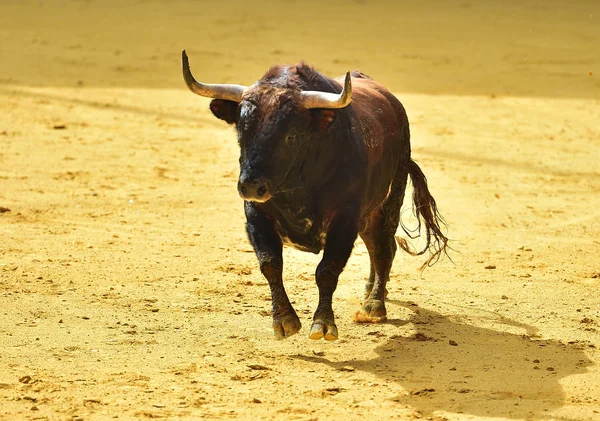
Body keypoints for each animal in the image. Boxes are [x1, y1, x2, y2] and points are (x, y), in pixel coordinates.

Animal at [180, 50, 448, 340]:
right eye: (241, 131)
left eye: (291, 136)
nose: (250, 185)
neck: (297, 185)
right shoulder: (255, 215)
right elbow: (270, 264)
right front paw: (284, 321)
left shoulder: (344, 221)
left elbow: (327, 270)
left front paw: (323, 323)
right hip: (368, 215)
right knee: (374, 246)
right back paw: (371, 290)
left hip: (389, 201)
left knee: (384, 248)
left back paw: (374, 305)